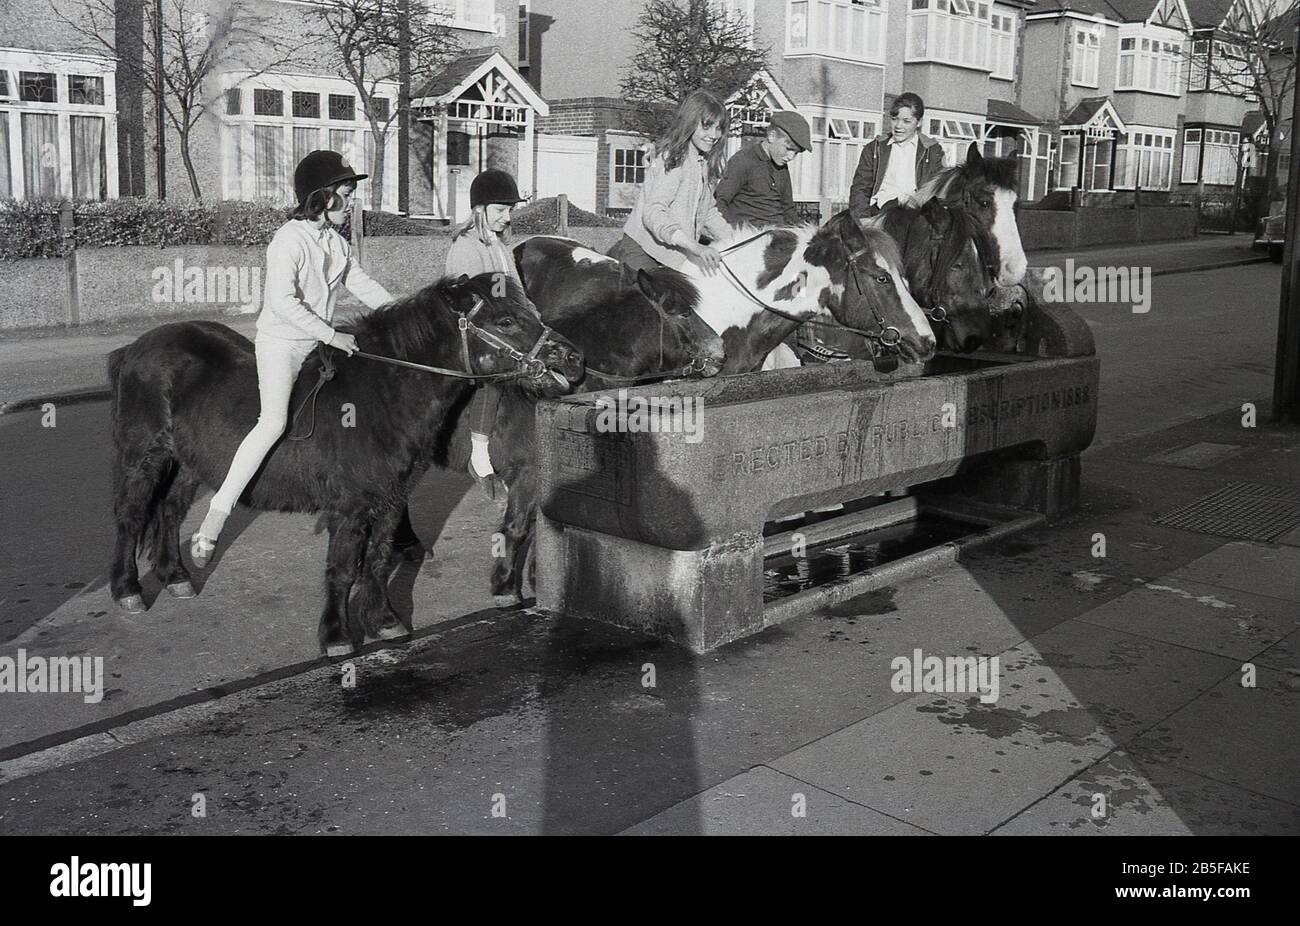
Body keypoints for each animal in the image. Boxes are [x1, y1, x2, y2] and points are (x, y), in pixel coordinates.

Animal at [106, 271, 585, 655]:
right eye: (505, 320)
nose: (572, 358)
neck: (382, 395)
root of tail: (134, 348)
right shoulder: (351, 505)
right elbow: (342, 569)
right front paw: (336, 636)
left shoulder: (391, 498)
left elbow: (376, 559)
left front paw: (385, 621)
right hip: (143, 455)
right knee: (131, 516)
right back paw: (129, 590)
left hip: (190, 463)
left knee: (169, 510)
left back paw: (175, 575)